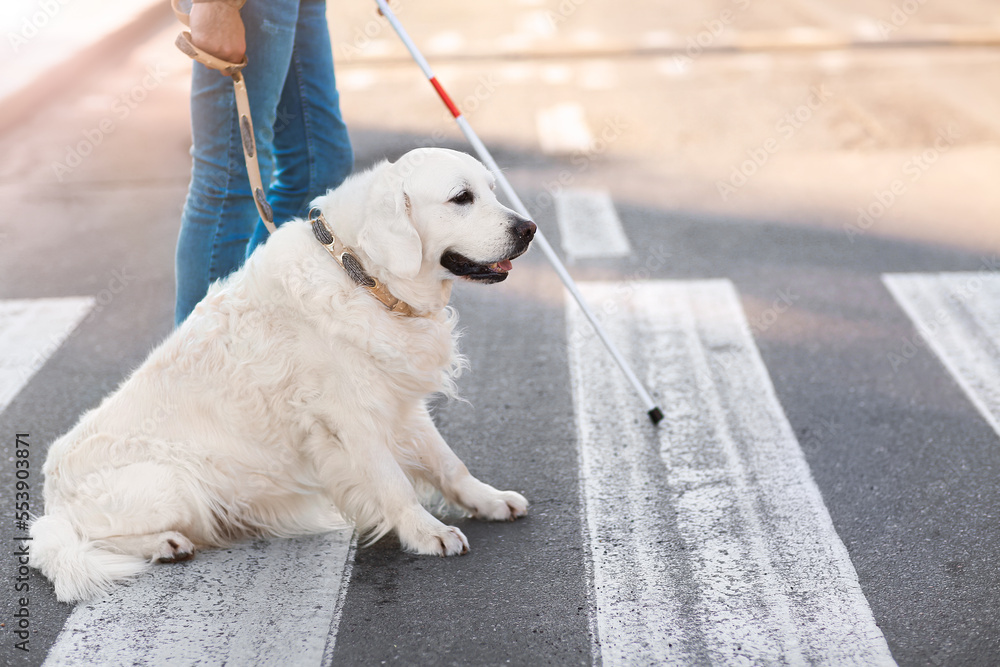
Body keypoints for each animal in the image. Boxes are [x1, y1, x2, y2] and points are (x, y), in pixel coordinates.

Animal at [27, 149, 536, 604]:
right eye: (461, 198)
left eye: (492, 189)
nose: (530, 228)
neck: (359, 273)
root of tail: (51, 499)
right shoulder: (349, 419)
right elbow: (395, 484)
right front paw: (427, 533)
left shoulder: (397, 399)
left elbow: (448, 462)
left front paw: (488, 501)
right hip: (172, 483)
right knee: (86, 541)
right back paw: (163, 544)